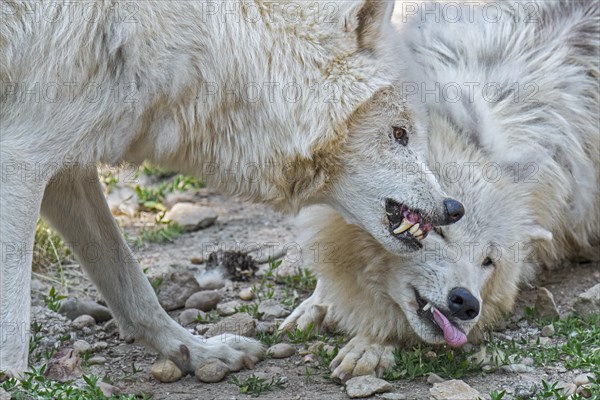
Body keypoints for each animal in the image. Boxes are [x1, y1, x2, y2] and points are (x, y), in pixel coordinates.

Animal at [0, 0, 464, 378]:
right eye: (400, 133)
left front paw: (197, 353)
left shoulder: (68, 168)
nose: (453, 208)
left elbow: (132, 284)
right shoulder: (20, 158)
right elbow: (13, 325)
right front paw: (14, 380)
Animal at [282, 0, 600, 382]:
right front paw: (318, 304)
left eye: (488, 261)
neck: (465, 133)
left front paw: (371, 344)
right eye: (439, 232)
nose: (466, 303)